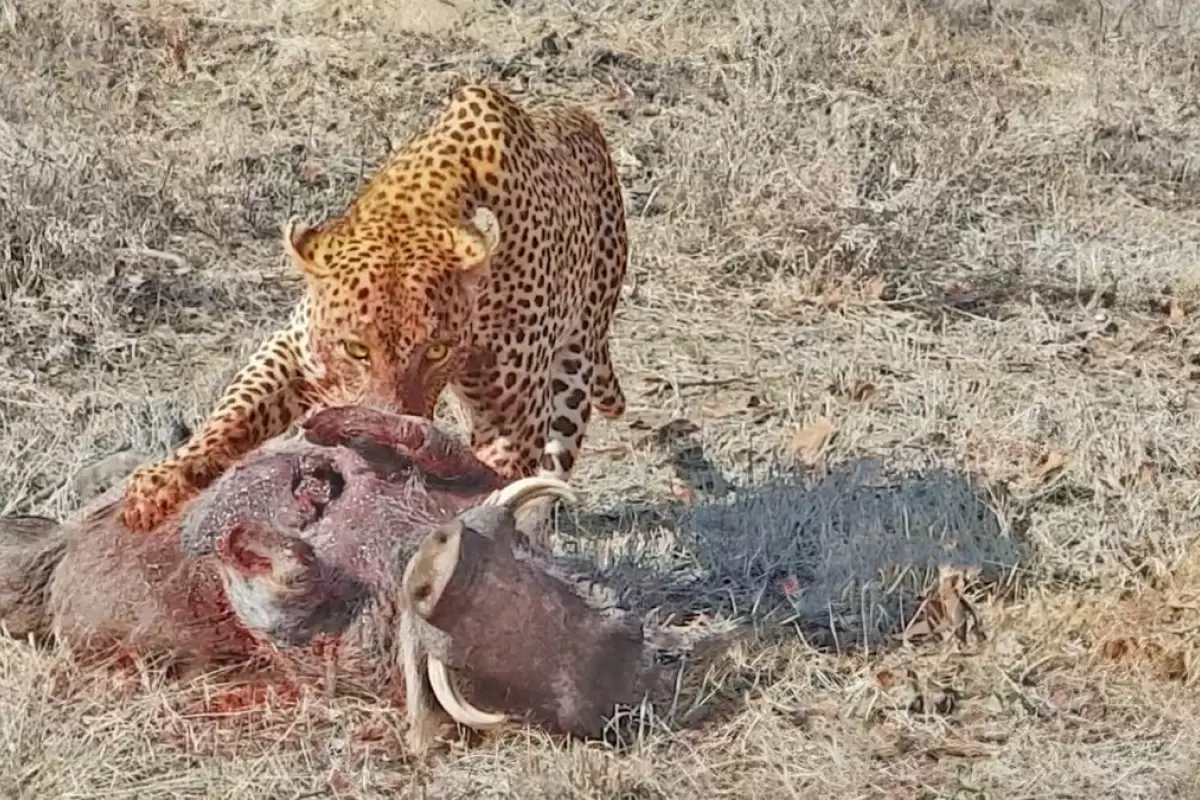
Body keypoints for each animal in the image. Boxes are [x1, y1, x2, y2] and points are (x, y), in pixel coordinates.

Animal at [119, 84, 628, 534]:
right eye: (356, 350)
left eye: (436, 350)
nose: (382, 446)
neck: (418, 207)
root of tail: (578, 118)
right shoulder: (295, 349)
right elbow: (233, 415)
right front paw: (161, 482)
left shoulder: (512, 416)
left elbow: (488, 479)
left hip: (576, 363)